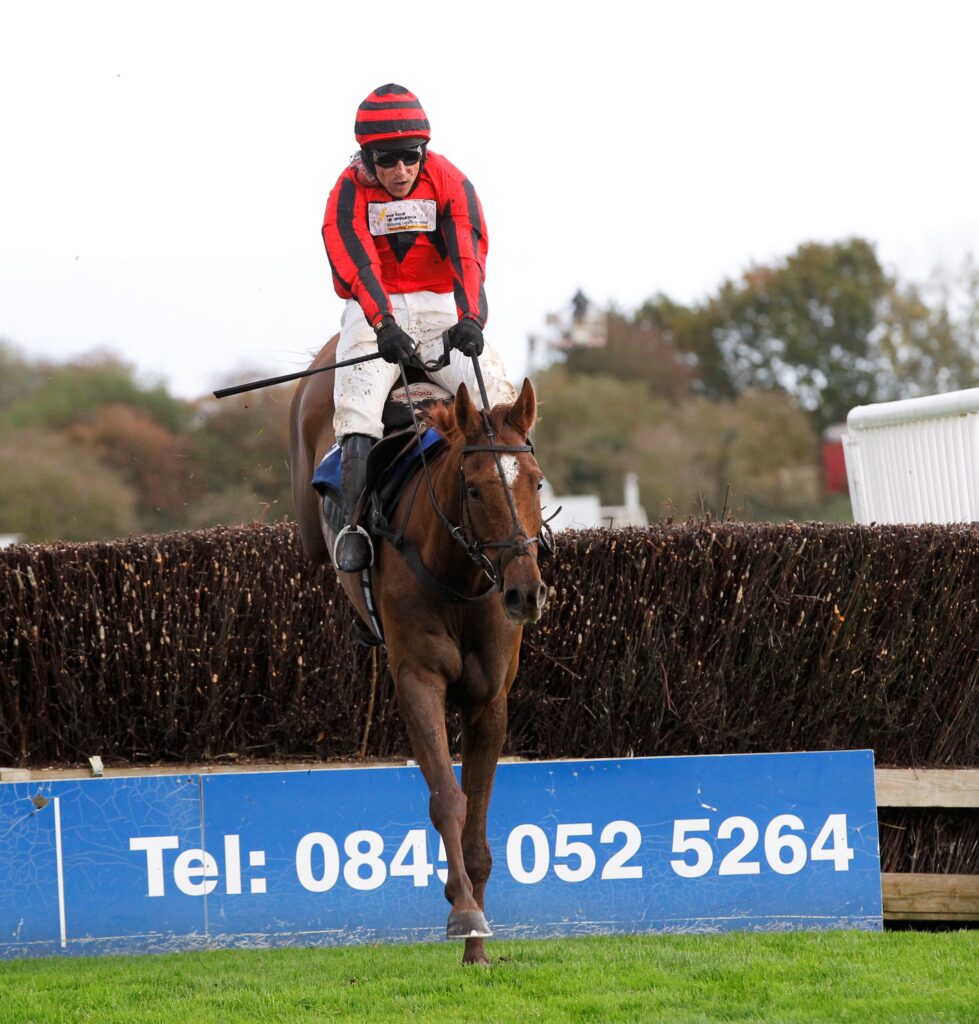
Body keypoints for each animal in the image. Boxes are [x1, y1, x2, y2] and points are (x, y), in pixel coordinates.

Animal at [290, 333, 548, 958]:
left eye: (536, 480)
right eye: (474, 488)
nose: (525, 592)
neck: (460, 578)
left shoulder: (489, 699)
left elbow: (477, 817)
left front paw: (477, 947)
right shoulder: (417, 681)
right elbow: (449, 800)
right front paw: (464, 914)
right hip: (312, 506)